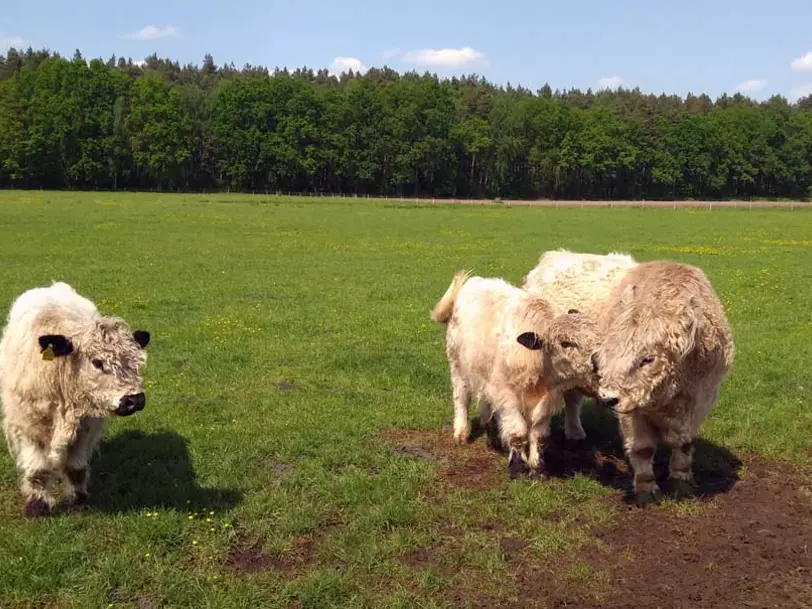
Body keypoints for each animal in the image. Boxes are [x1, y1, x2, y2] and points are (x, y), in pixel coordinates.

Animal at [0, 282, 151, 516]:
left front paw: (78, 500)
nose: (135, 399)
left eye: (134, 361)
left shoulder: (86, 426)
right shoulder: (27, 426)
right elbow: (38, 471)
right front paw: (38, 505)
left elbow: (76, 468)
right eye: (97, 362)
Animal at [432, 274, 604, 478]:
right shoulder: (508, 396)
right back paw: (461, 432)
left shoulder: (546, 400)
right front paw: (518, 466)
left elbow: (539, 435)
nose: (601, 361)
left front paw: (537, 467)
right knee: (461, 399)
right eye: (566, 343)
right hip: (458, 366)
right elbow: (518, 432)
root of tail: (473, 282)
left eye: (598, 337)